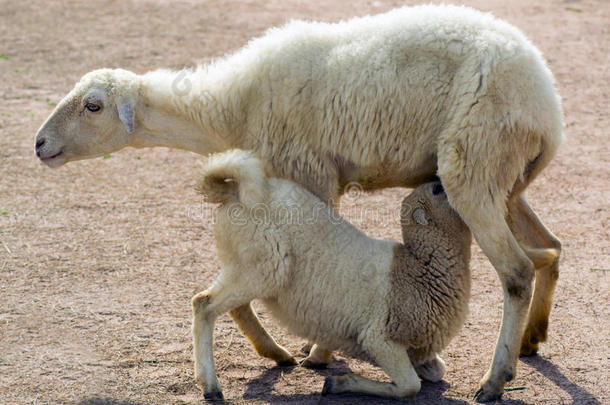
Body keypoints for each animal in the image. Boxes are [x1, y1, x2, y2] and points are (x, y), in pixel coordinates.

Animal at [191, 149, 556, 400]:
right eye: (437, 192)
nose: (442, 181)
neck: (419, 268)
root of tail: (231, 190)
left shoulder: (418, 350)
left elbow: (437, 372)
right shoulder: (379, 339)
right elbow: (409, 386)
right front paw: (339, 383)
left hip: (244, 267)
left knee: (231, 307)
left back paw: (279, 356)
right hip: (260, 268)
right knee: (203, 304)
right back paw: (211, 388)